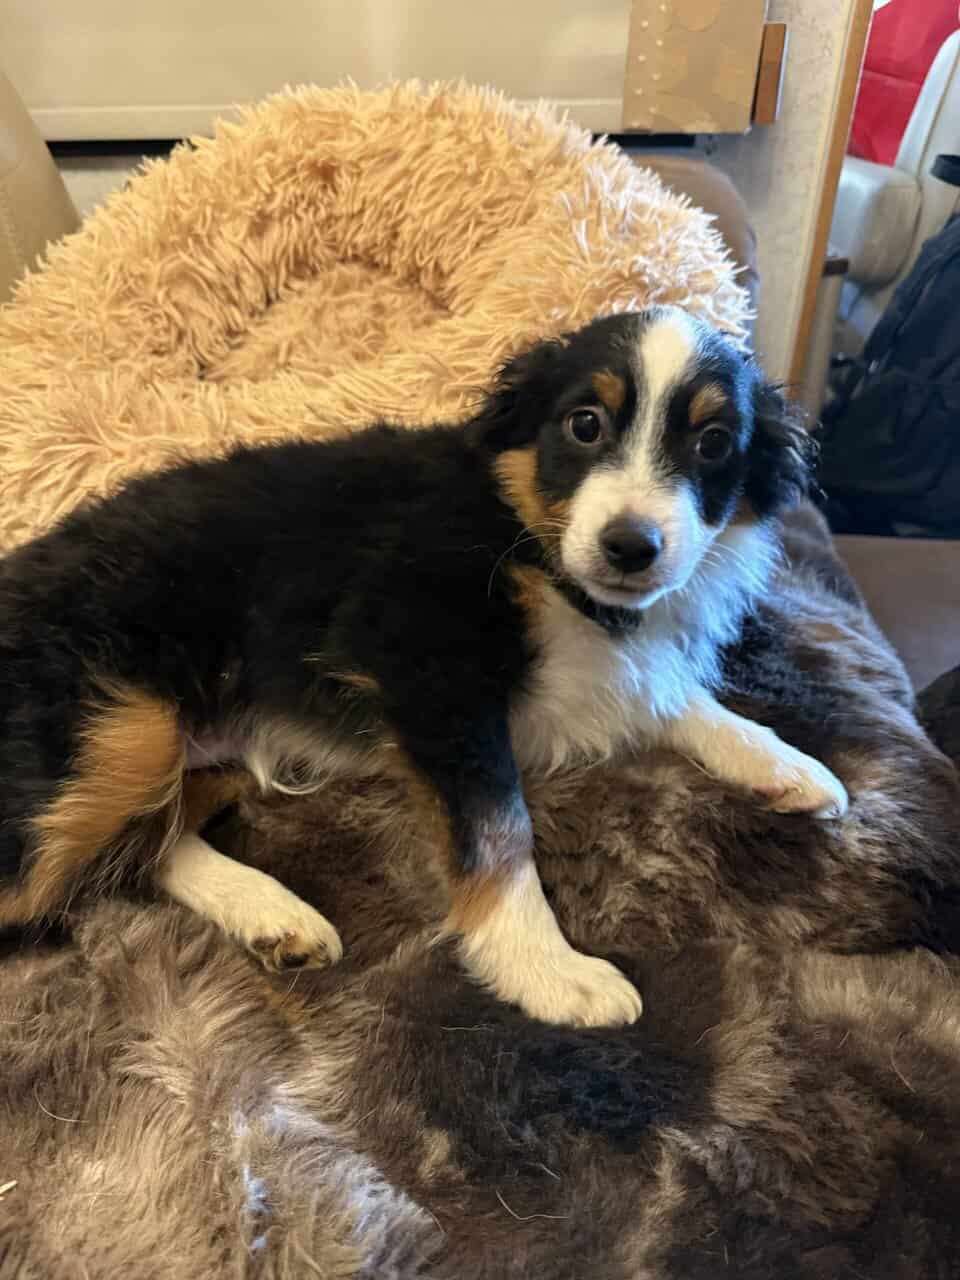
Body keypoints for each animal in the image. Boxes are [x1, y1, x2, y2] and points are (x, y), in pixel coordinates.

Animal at [0, 306, 847, 1027]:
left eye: (714, 443)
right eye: (585, 424)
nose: (631, 548)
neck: (527, 538)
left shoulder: (607, 666)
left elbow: (677, 698)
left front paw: (787, 764)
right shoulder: (427, 668)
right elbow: (499, 825)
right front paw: (548, 970)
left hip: (194, 749)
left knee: (144, 849)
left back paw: (270, 913)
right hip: (122, 732)